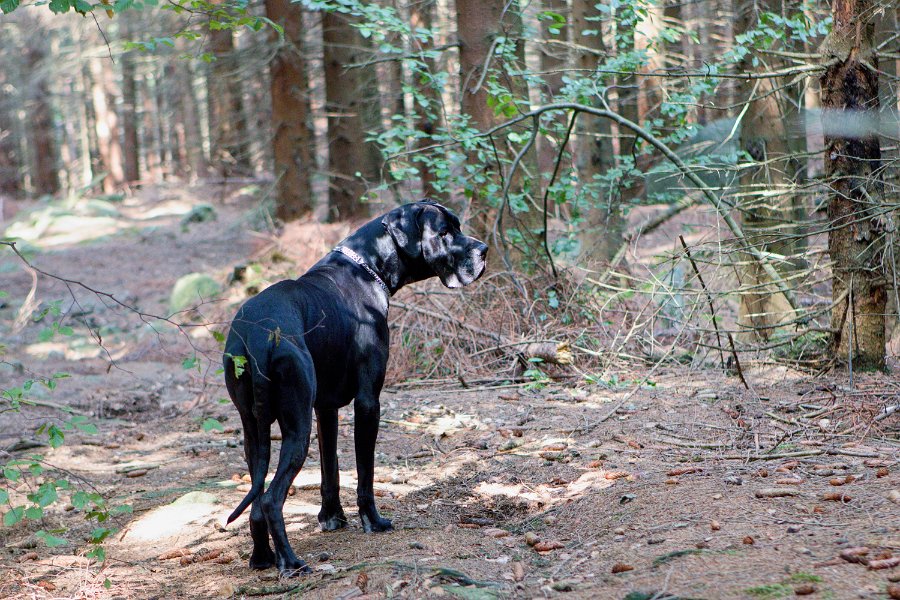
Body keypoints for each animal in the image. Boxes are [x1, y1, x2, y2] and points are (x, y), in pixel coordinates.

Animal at [223, 200, 486, 576]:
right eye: (445, 232)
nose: (484, 250)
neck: (367, 267)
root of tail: (258, 336)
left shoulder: (325, 408)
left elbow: (330, 468)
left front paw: (332, 517)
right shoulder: (368, 402)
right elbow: (365, 473)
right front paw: (372, 521)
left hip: (253, 430)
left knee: (258, 497)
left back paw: (262, 557)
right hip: (296, 429)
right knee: (272, 498)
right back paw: (291, 562)